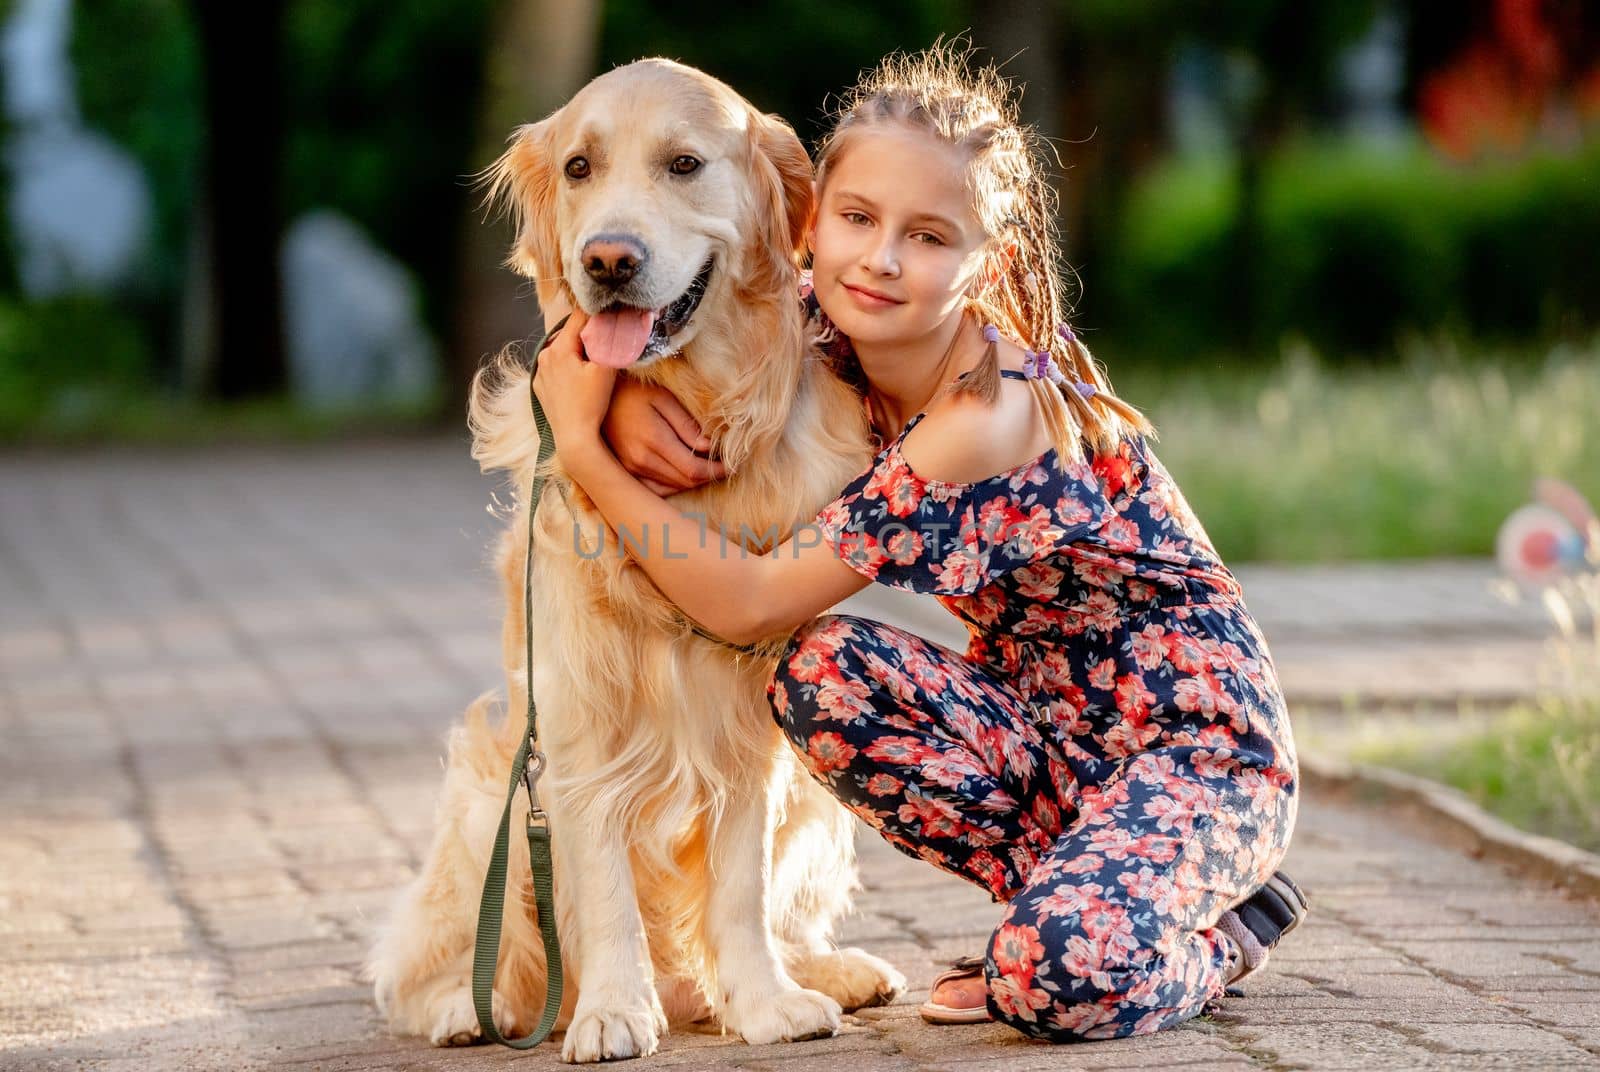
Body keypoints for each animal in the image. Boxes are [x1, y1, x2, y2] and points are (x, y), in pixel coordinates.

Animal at [366, 60, 908, 1068]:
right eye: (578, 167)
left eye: (684, 164)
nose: (607, 261)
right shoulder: (575, 726)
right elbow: (602, 881)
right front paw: (615, 1010)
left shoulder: (749, 719)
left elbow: (739, 887)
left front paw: (766, 1003)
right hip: (489, 792)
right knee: (437, 959)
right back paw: (471, 1006)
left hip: (817, 803)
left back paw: (825, 972)